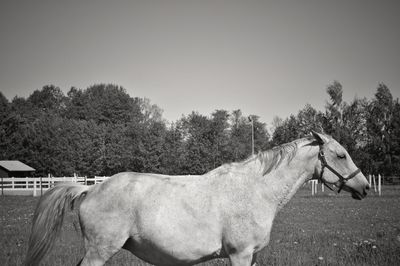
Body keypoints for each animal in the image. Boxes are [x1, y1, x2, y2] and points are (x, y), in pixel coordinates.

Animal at [25, 132, 368, 264]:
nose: (364, 187)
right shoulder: (239, 254)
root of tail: (90, 188)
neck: (254, 190)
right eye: (341, 154)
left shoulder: (251, 255)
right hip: (99, 251)